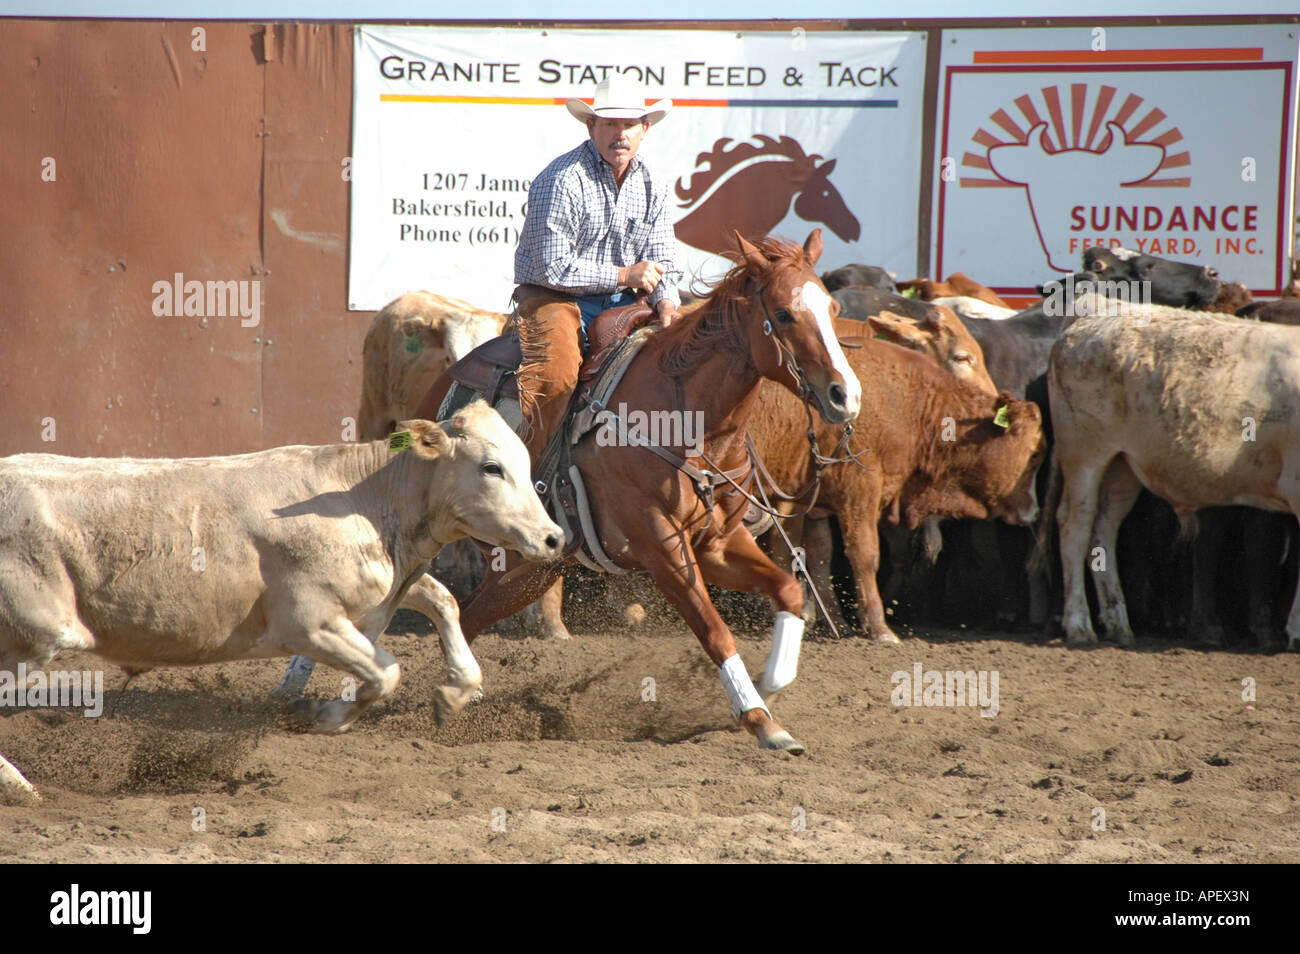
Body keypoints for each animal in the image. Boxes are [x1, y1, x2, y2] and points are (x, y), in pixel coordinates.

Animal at [0, 403, 563, 803]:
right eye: (492, 468)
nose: (555, 538)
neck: (364, 499)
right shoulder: (308, 624)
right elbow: (385, 672)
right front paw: (321, 714)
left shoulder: (387, 589)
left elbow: (443, 601)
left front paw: (454, 693)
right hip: (36, 638)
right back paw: (18, 788)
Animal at [416, 230, 860, 753]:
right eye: (786, 314)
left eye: (832, 308)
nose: (846, 395)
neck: (688, 423)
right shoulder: (661, 547)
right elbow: (714, 631)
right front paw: (759, 718)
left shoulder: (717, 544)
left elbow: (789, 589)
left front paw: (770, 683)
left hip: (529, 570)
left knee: (469, 615)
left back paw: (460, 692)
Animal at [1046, 299, 1300, 650]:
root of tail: (1097, 306)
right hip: (1085, 456)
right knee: (1075, 528)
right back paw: (1079, 625)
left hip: (1121, 466)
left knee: (1103, 530)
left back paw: (1119, 625)